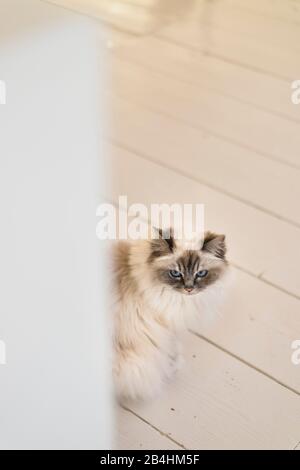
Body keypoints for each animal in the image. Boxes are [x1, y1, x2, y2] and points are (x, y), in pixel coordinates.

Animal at [111, 229, 229, 402]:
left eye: (201, 273)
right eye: (175, 273)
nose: (189, 289)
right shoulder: (162, 327)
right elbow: (170, 349)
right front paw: (174, 364)